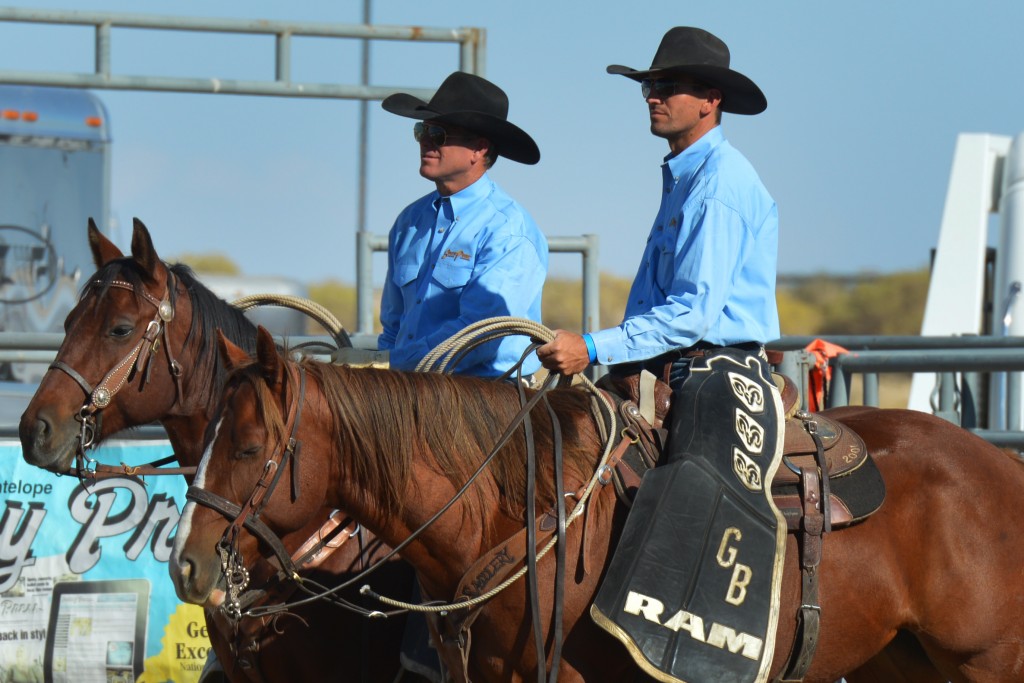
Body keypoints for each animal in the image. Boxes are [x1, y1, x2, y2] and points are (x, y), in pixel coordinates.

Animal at [174, 325, 1024, 683]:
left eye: (248, 447)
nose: (184, 563)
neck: (514, 505)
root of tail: (1000, 466)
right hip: (902, 663)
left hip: (988, 663)